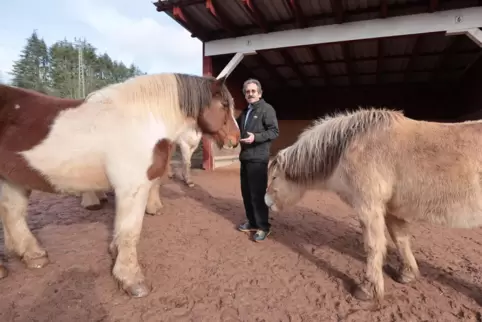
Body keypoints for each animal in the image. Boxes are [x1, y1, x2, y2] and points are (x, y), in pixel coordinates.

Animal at [0, 72, 240, 296]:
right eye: (224, 105)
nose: (236, 139)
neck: (143, 121)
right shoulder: (132, 188)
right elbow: (130, 232)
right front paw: (131, 279)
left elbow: (121, 230)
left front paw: (116, 255)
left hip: (11, 180)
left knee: (13, 216)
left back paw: (33, 256)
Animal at [266, 108, 482, 304]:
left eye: (274, 177)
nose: (266, 201)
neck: (351, 144)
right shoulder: (392, 210)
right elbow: (401, 239)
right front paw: (407, 274)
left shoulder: (368, 207)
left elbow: (373, 246)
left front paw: (368, 289)